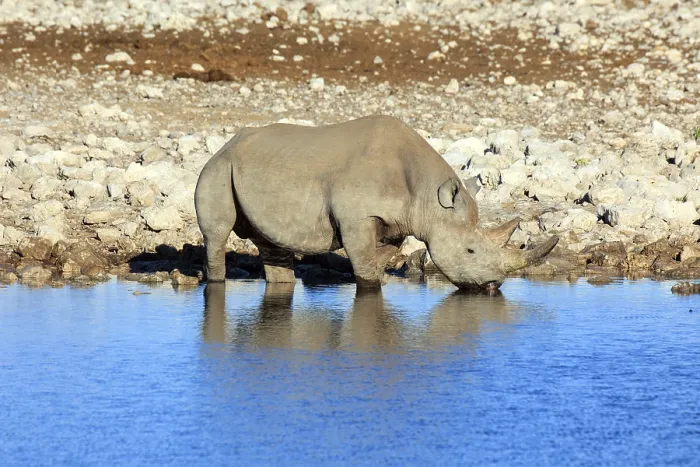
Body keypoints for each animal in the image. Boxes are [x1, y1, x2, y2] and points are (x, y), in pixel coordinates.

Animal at [195, 115, 558, 291]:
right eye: (470, 251)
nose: (493, 286)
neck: (427, 196)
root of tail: (226, 144)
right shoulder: (357, 219)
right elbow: (365, 268)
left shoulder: (399, 221)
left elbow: (378, 260)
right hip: (217, 168)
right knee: (217, 233)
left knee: (271, 243)